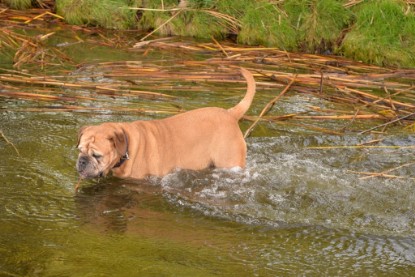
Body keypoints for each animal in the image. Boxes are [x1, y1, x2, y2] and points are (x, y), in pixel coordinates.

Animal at [76, 67, 255, 179]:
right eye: (80, 150)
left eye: (97, 155)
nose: (82, 161)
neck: (127, 146)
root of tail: (230, 114)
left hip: (229, 161)